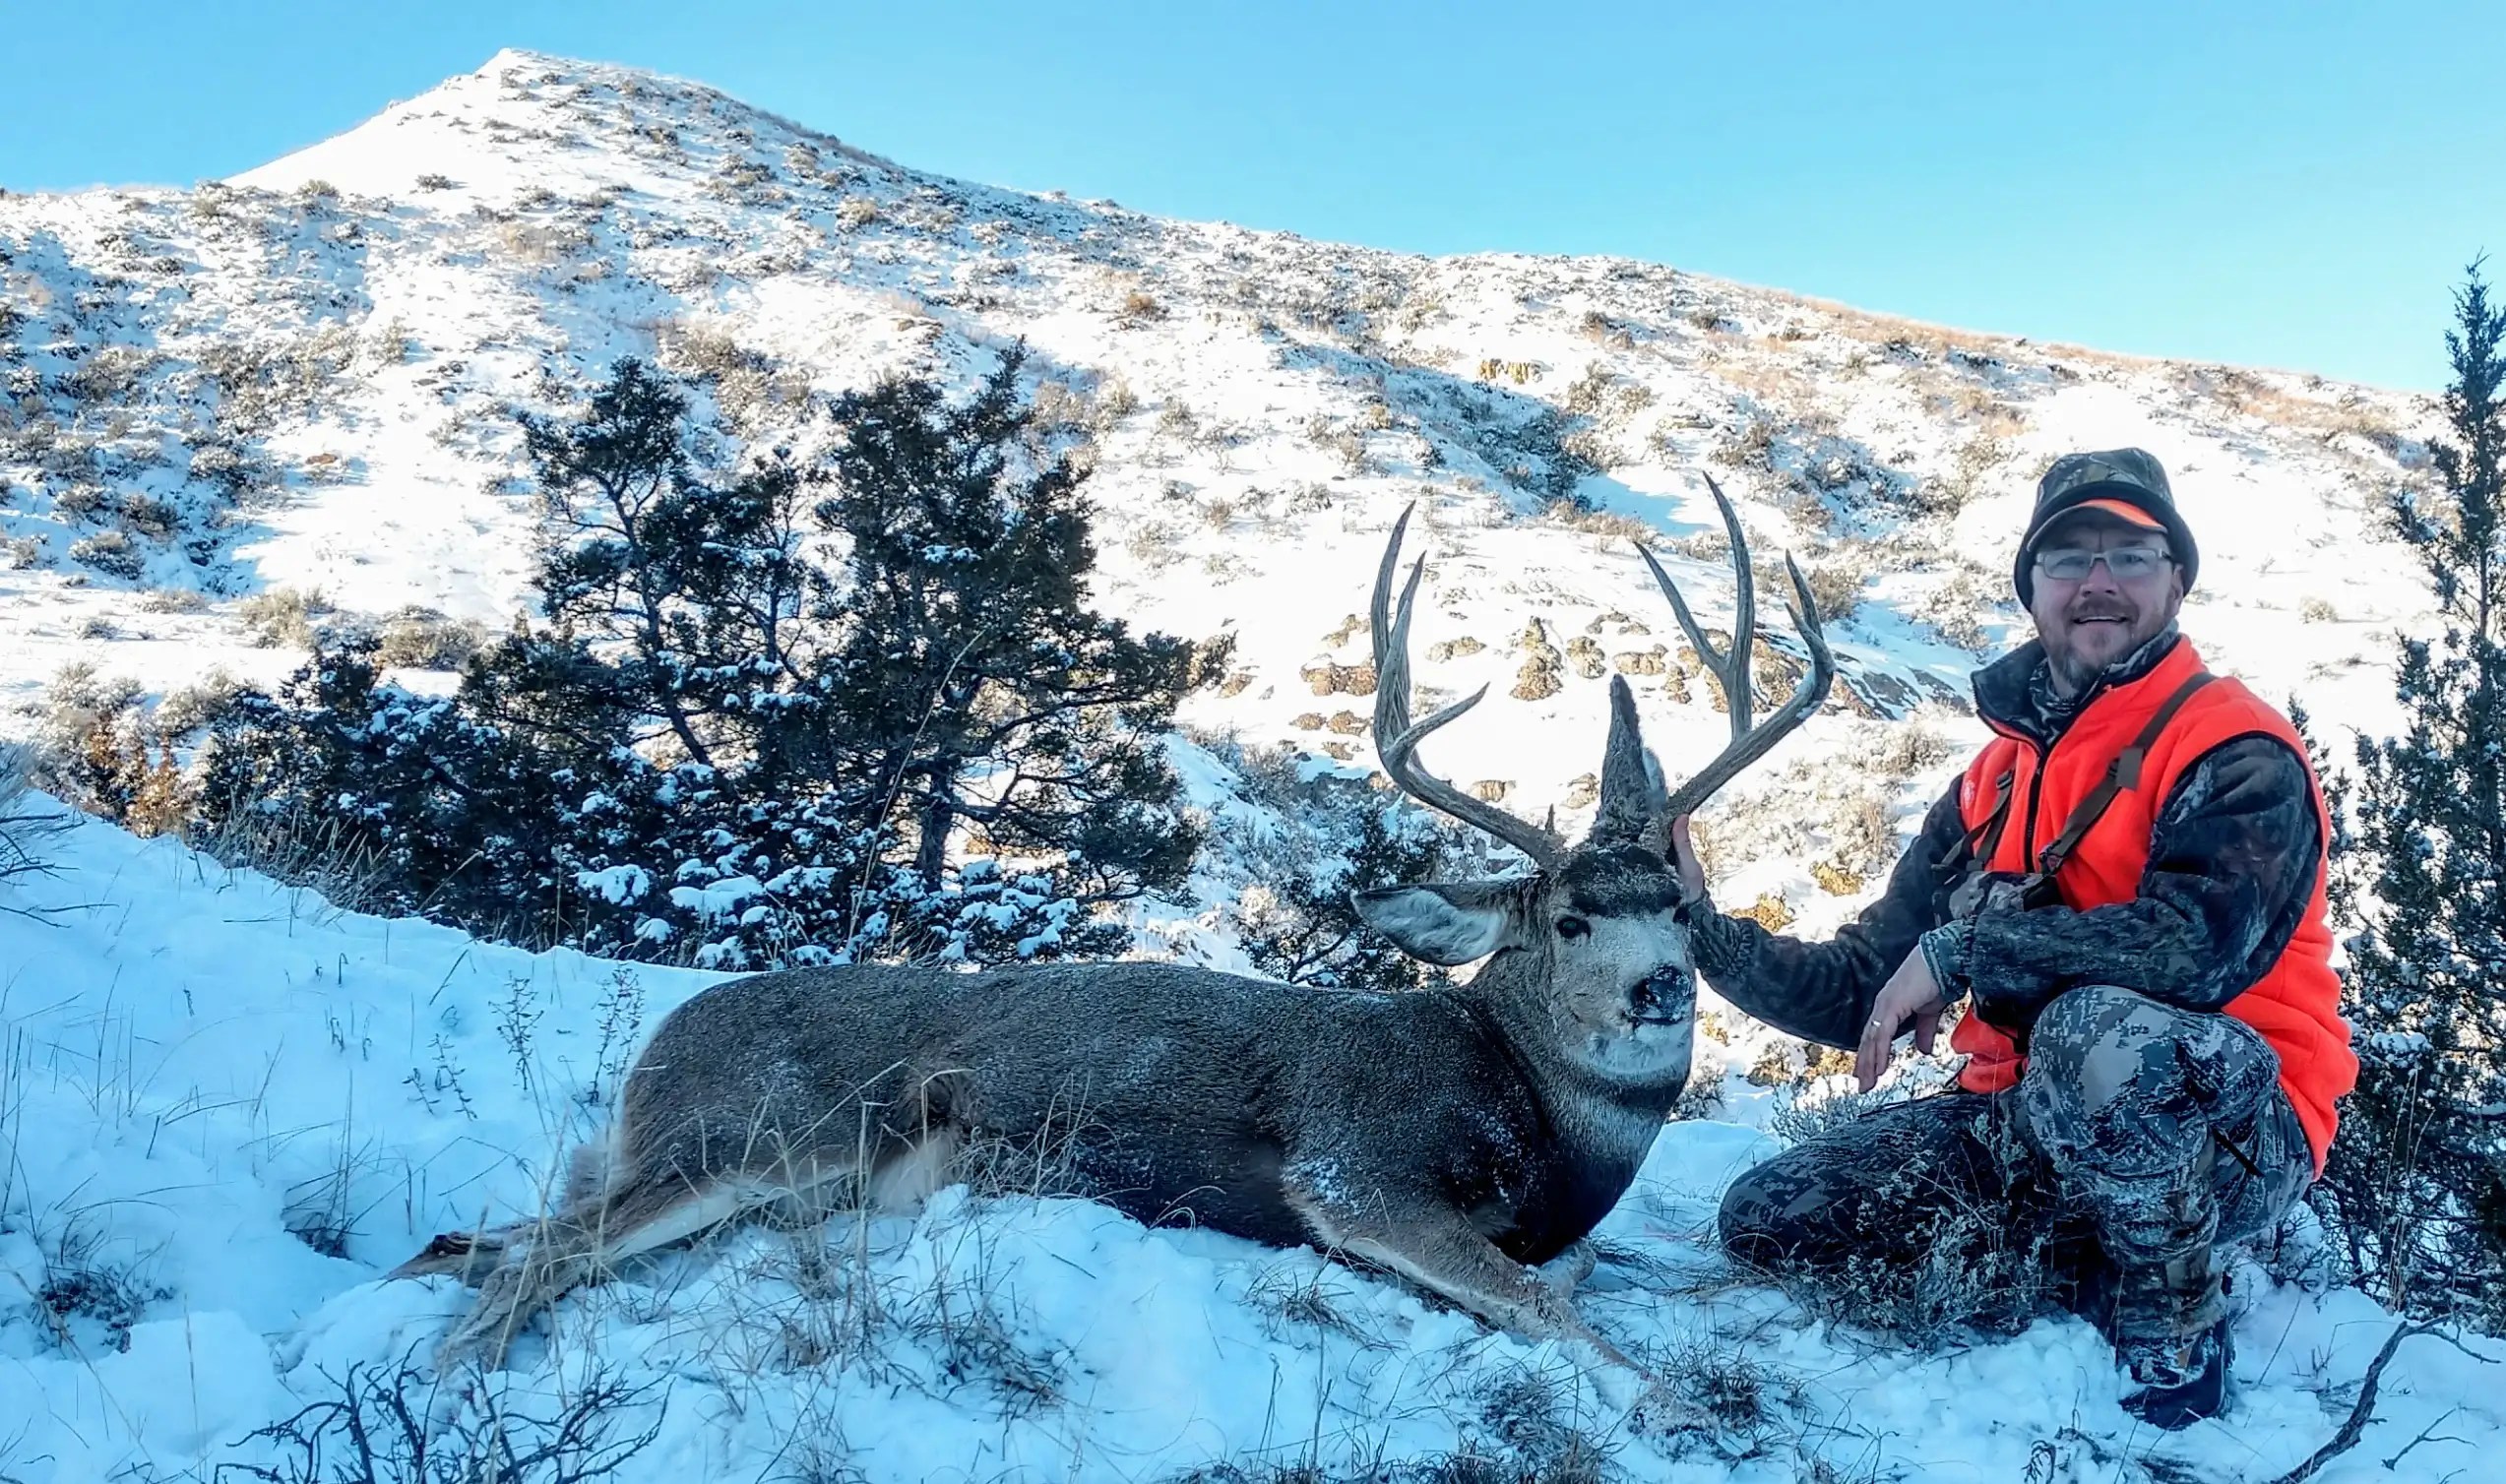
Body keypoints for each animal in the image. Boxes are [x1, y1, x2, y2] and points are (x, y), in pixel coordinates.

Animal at [394, 482, 1833, 1427]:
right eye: (1570, 919)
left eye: (1679, 908)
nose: (1657, 990)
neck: (1533, 1107)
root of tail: (651, 1050)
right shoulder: (1350, 1167)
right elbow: (1540, 1301)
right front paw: (1672, 1405)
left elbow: (1562, 1279)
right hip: (767, 1129)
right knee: (535, 1255)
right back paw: (444, 1389)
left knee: (478, 1237)